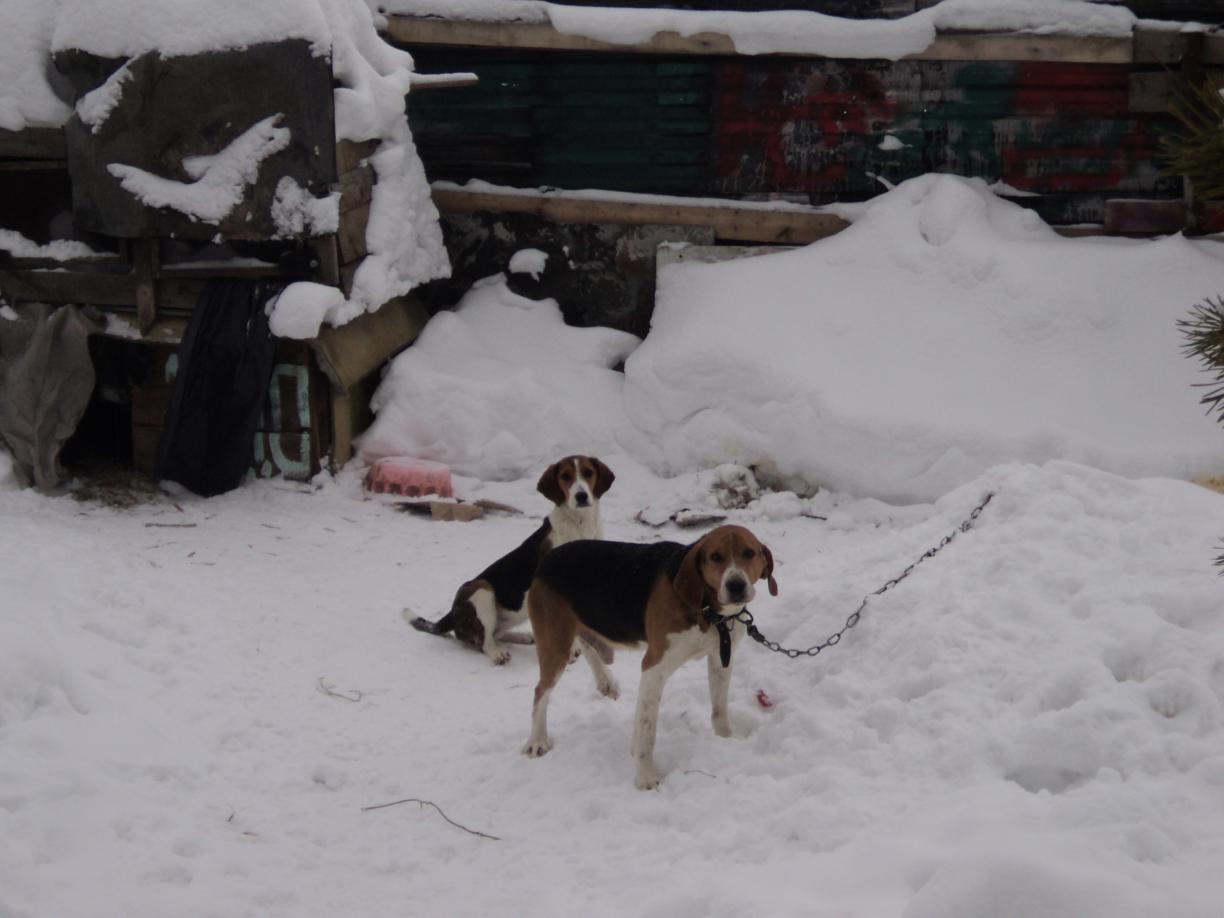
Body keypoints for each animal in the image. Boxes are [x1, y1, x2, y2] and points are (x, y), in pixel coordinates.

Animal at [410, 455, 614, 664]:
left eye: (588, 472)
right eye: (565, 476)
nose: (581, 496)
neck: (580, 524)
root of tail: (451, 615)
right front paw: (571, 650)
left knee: (495, 634)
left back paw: (523, 637)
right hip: (481, 588)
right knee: (483, 642)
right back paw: (497, 653)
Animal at [522, 524, 777, 789]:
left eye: (749, 553)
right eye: (716, 556)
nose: (736, 585)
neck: (708, 611)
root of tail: (548, 558)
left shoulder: (720, 660)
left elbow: (719, 709)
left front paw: (725, 739)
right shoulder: (654, 669)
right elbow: (647, 730)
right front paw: (646, 778)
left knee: (588, 647)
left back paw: (605, 682)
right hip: (555, 646)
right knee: (540, 692)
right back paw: (537, 740)